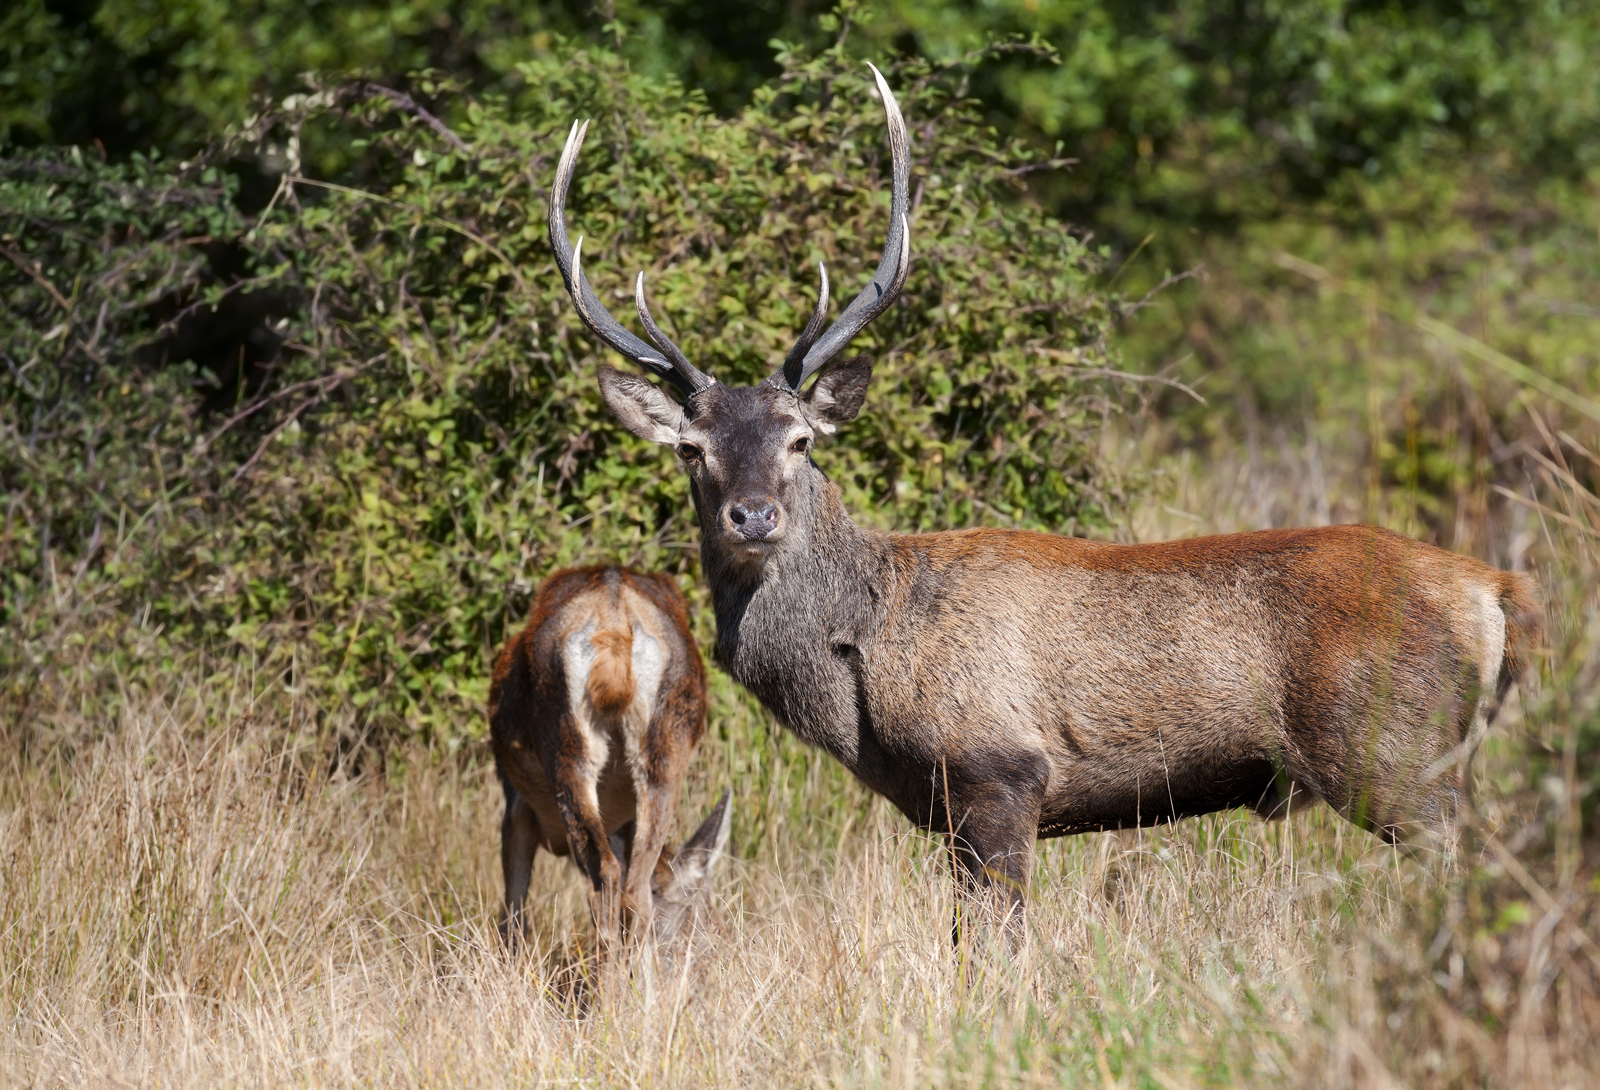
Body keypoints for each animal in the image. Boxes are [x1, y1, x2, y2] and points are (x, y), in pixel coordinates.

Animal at [490, 565, 731, 956]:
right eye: (700, 912)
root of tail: (615, 623)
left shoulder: (516, 803)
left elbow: (513, 912)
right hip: (664, 753)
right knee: (634, 888)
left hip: (567, 747)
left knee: (605, 878)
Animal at [544, 65, 1542, 943]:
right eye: (692, 448)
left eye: (801, 440)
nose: (752, 516)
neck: (866, 661)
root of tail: (1494, 591)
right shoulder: (950, 806)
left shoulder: (1000, 771)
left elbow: (998, 946)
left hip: (1397, 754)